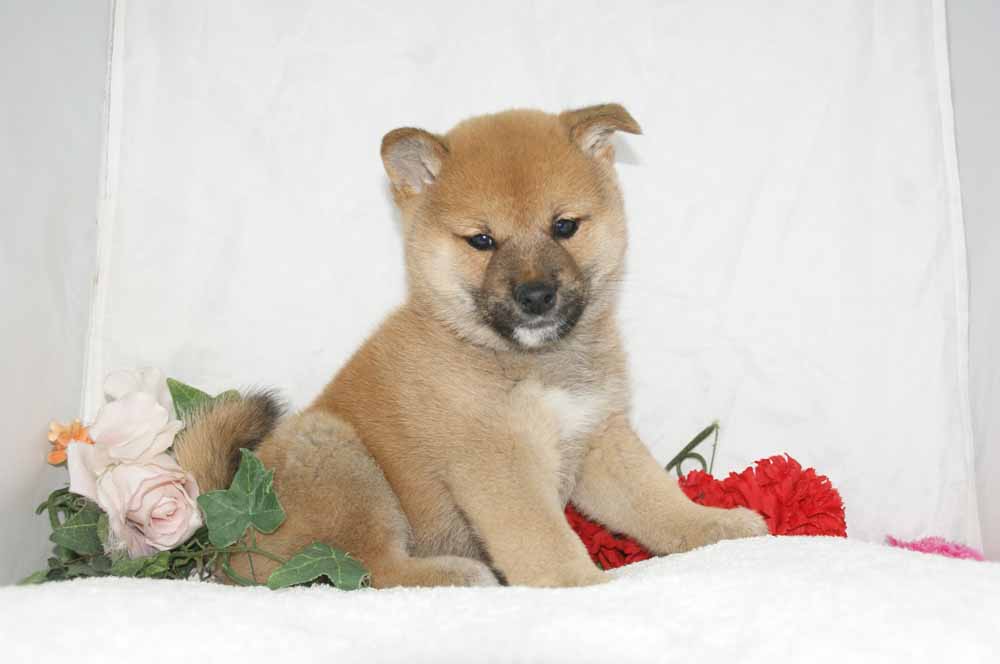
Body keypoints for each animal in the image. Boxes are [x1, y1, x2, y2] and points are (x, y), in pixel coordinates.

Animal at [178, 102, 764, 588]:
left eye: (564, 226)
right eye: (482, 240)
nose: (536, 295)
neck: (534, 364)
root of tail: (223, 540)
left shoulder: (599, 437)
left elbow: (655, 500)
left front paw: (715, 525)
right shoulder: (497, 462)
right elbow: (542, 537)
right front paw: (581, 585)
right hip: (341, 459)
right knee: (369, 568)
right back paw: (457, 572)